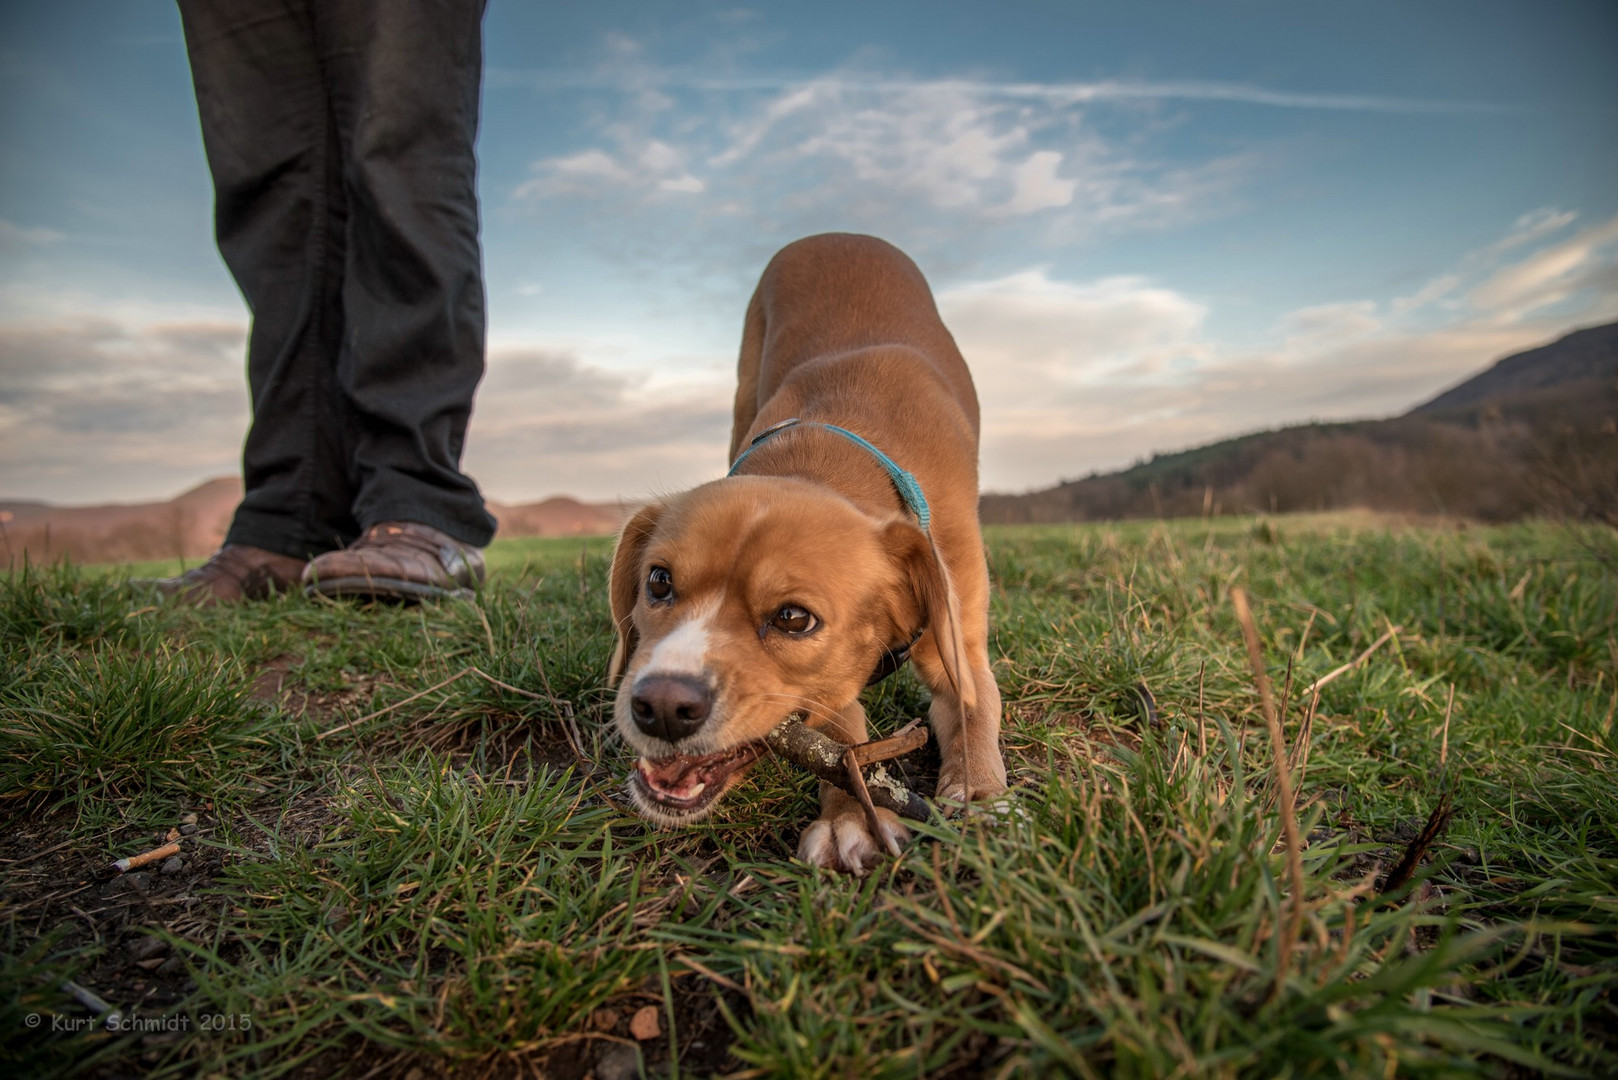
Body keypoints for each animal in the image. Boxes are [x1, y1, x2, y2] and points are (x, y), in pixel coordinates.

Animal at [608, 233, 1009, 874]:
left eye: (795, 618)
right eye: (659, 582)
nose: (662, 706)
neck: (825, 453)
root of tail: (837, 232)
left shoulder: (961, 647)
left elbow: (974, 713)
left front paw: (979, 795)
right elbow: (843, 738)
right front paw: (850, 817)